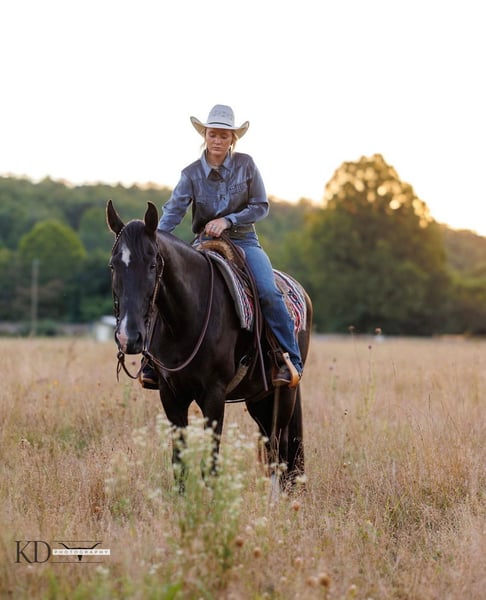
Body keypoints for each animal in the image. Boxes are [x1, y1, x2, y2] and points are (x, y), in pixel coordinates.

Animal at [106, 200, 313, 491]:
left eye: (152, 264)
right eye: (113, 265)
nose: (128, 337)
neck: (184, 320)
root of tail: (301, 293)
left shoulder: (214, 395)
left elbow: (212, 464)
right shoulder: (170, 395)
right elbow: (179, 463)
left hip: (284, 392)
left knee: (278, 447)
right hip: (258, 396)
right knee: (268, 441)